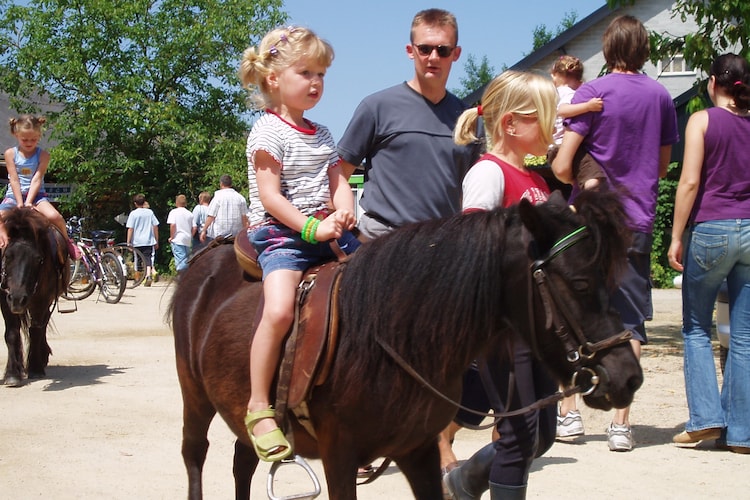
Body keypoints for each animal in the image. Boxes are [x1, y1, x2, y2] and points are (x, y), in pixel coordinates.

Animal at [0, 207, 70, 386]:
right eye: (7, 255)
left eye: (38, 259)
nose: (18, 299)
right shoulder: (5, 300)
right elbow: (12, 333)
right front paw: (12, 374)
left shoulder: (41, 300)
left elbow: (36, 331)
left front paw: (35, 368)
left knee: (42, 327)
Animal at [172, 188, 648, 500]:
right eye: (581, 283)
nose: (628, 376)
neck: (382, 337)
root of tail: (209, 254)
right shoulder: (339, 455)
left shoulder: (416, 451)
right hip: (195, 396)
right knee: (195, 455)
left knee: (243, 458)